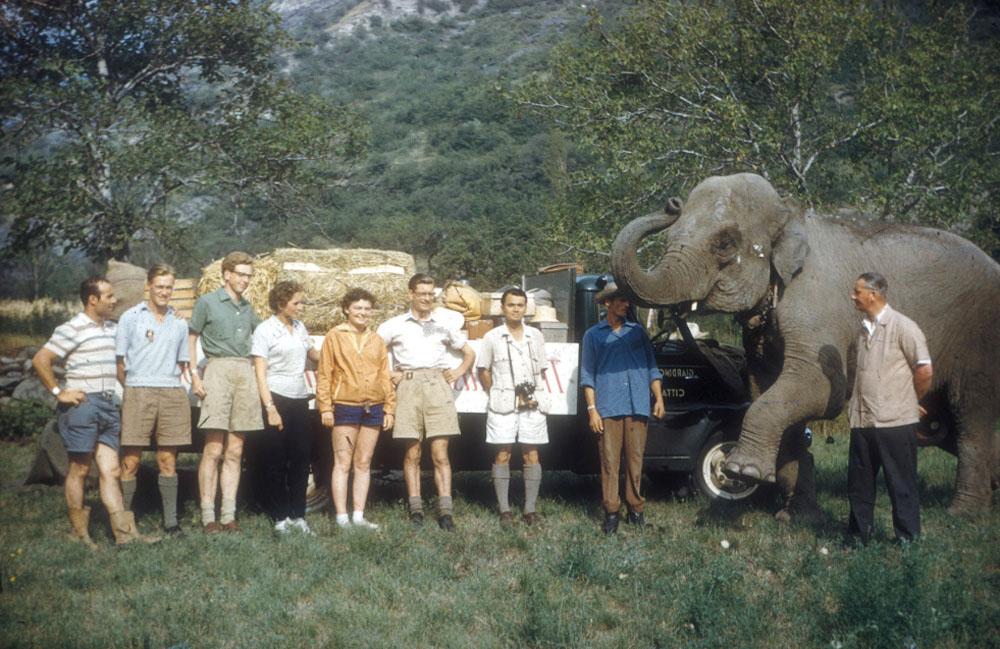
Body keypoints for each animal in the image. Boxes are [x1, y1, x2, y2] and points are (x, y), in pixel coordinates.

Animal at [612, 172, 996, 516]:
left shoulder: (818, 310)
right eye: (670, 236)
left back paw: (962, 513)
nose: (671, 203)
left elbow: (822, 388)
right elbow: (768, 391)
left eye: (724, 243)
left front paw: (740, 470)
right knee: (949, 425)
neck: (790, 214)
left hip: (979, 339)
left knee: (970, 415)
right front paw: (794, 515)